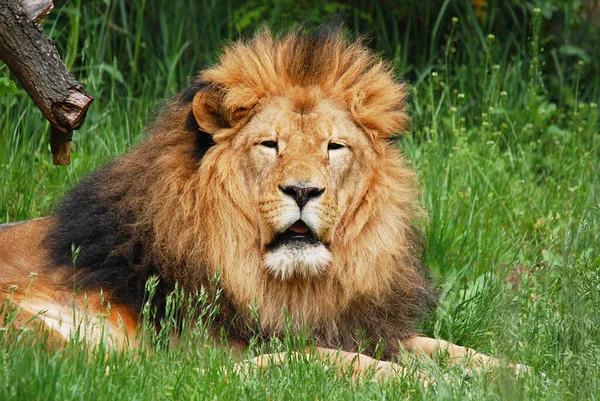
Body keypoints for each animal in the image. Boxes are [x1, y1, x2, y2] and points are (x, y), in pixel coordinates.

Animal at [0, 25, 524, 378]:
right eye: (270, 145)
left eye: (334, 147)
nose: (302, 190)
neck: (292, 285)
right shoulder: (211, 347)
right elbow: (328, 358)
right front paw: (409, 381)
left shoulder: (363, 326)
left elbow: (445, 347)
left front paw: (518, 374)